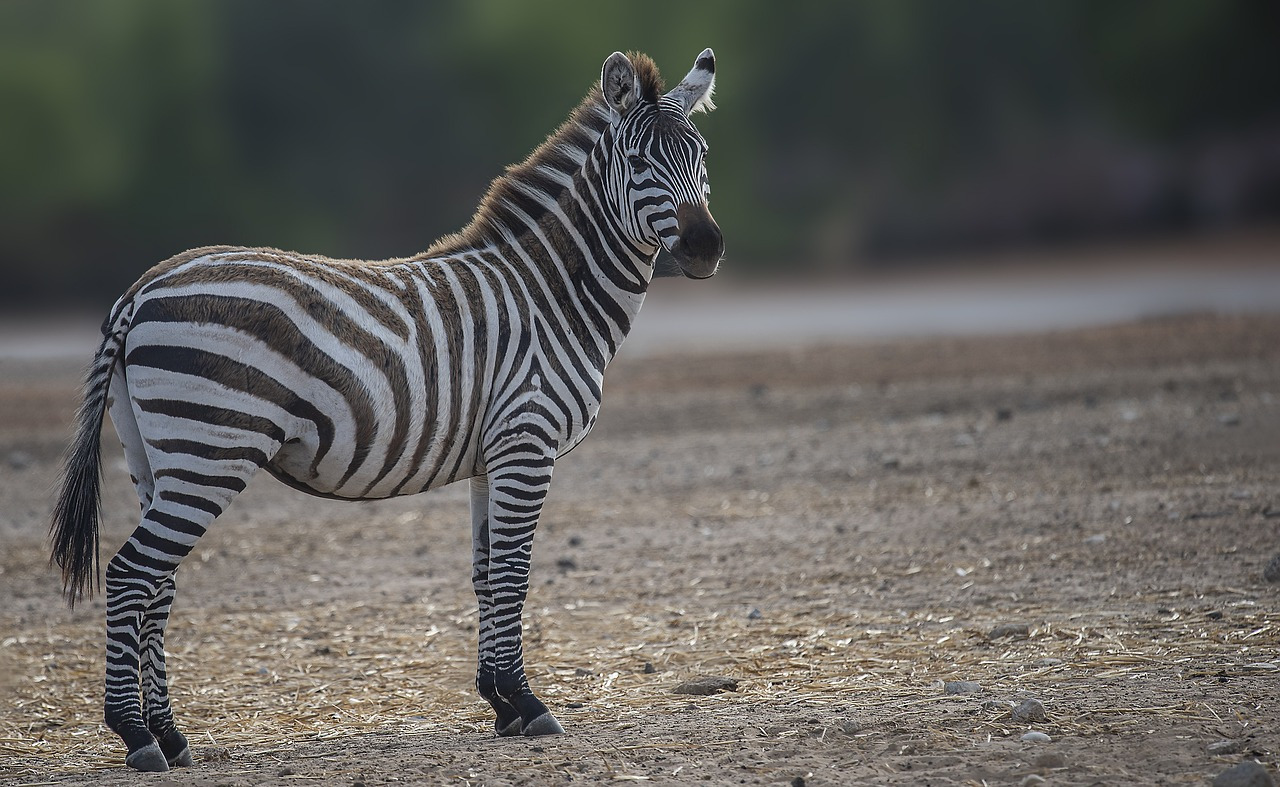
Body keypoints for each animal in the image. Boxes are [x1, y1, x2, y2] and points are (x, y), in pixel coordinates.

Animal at [49, 49, 722, 771]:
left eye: (702, 153)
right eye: (640, 162)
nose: (706, 247)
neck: (552, 296)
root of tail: (140, 290)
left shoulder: (491, 457)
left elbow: (486, 575)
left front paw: (500, 703)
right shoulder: (527, 441)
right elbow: (514, 574)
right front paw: (529, 703)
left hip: (155, 457)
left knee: (158, 585)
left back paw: (171, 735)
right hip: (211, 450)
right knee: (131, 574)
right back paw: (136, 735)